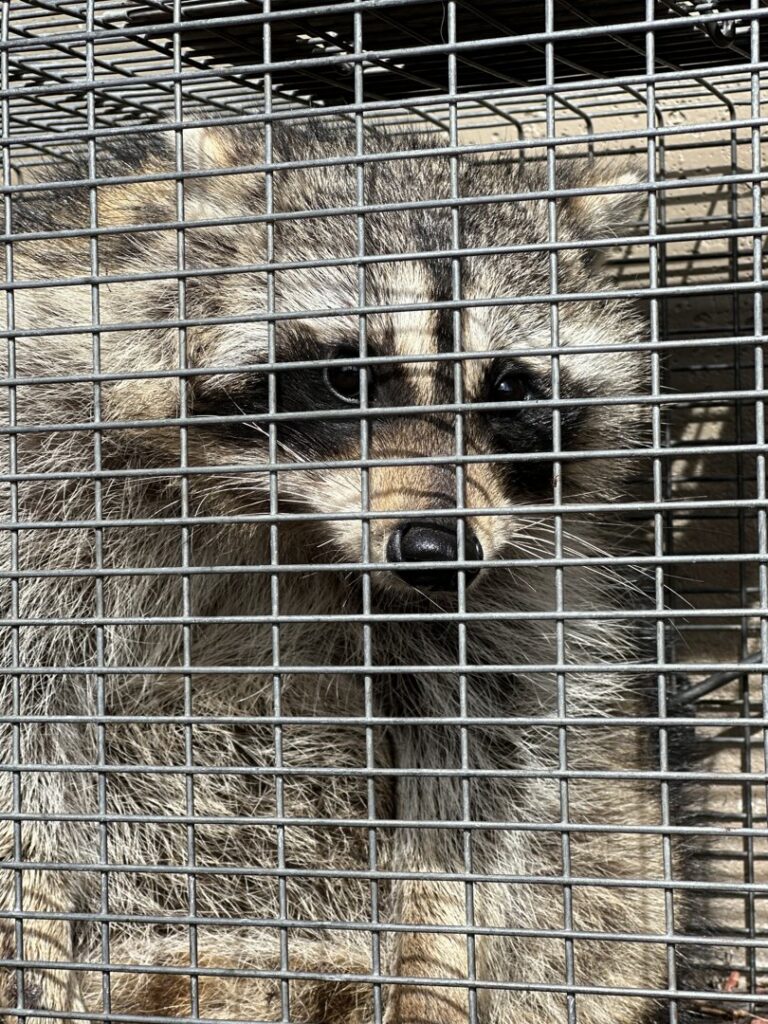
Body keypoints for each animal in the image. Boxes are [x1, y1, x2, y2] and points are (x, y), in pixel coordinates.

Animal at [0, 120, 679, 1024]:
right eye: (347, 374)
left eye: (507, 386)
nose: (437, 551)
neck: (281, 515)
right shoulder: (45, 489)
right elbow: (30, 744)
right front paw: (30, 948)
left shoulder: (505, 592)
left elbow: (476, 770)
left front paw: (435, 963)